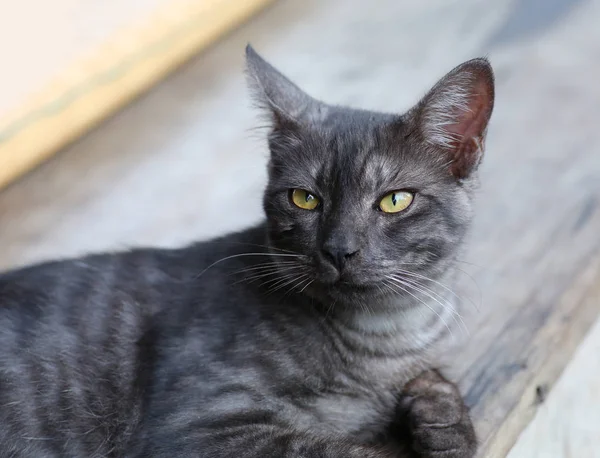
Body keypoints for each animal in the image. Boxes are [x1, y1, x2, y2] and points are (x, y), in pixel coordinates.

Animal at [0, 43, 492, 458]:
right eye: (304, 199)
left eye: (395, 200)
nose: (339, 250)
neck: (386, 338)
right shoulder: (199, 425)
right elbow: (340, 452)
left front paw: (439, 411)